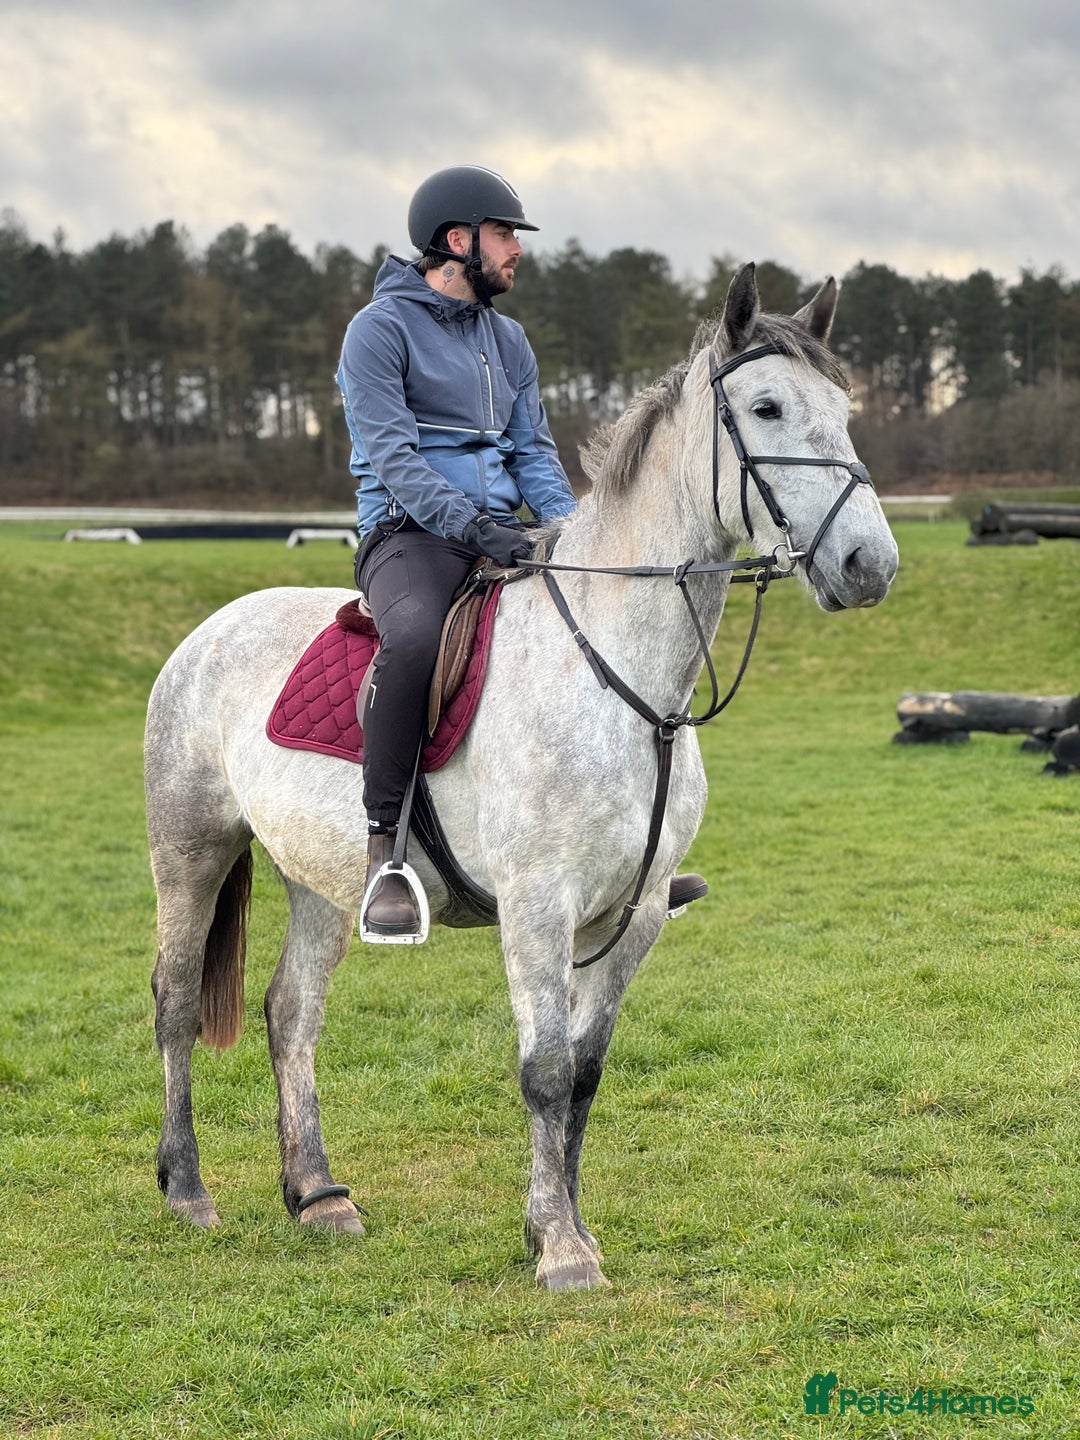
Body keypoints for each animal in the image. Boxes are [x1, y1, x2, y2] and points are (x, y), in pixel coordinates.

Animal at [145, 263, 899, 1290]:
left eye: (844, 410)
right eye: (767, 407)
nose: (869, 565)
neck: (623, 679)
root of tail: (211, 628)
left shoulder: (636, 911)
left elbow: (583, 1073)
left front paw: (562, 1226)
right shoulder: (540, 904)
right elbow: (542, 1069)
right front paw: (564, 1251)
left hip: (319, 879)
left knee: (291, 1014)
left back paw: (319, 1195)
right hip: (191, 850)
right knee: (178, 1001)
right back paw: (187, 1189)